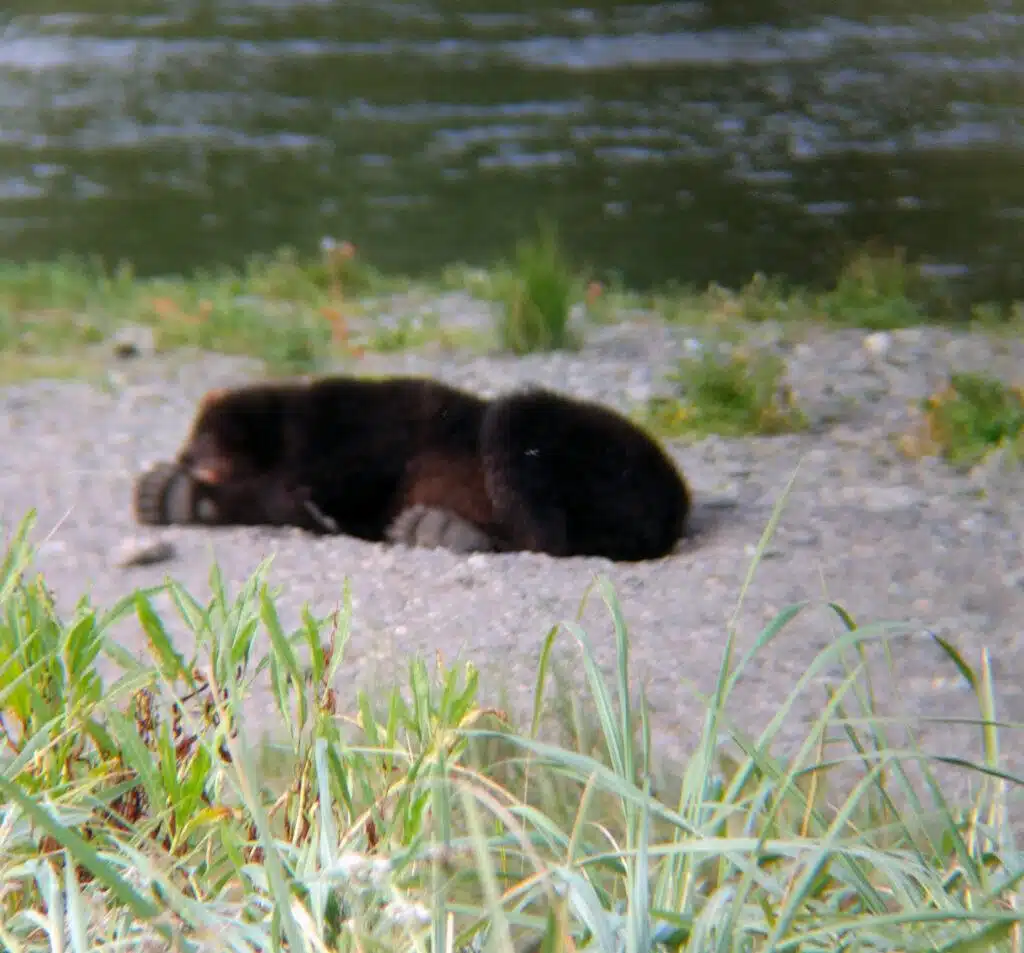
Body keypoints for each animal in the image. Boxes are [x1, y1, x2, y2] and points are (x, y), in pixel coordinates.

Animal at [133, 374, 691, 562]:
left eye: (197, 445)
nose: (186, 458)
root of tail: (679, 497)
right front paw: (167, 491)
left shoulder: (355, 426)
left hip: (591, 454)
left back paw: (452, 529)